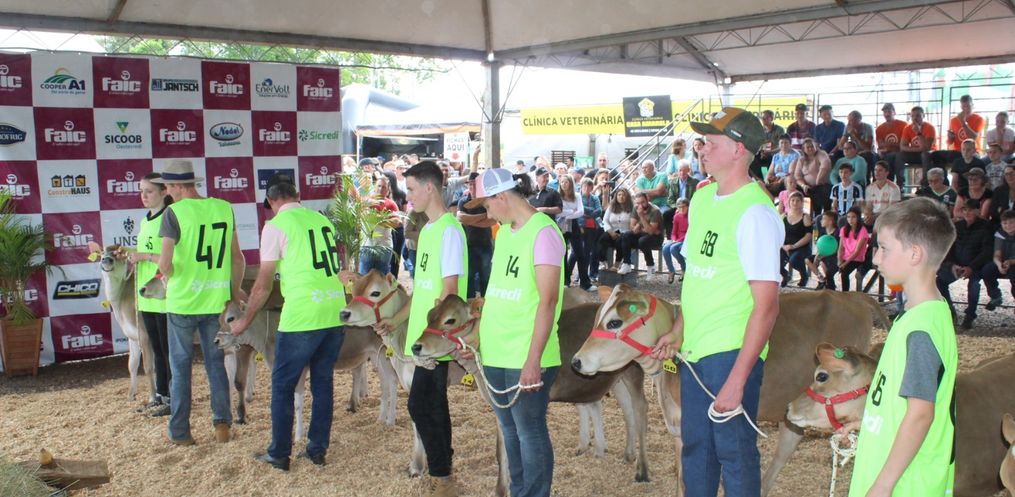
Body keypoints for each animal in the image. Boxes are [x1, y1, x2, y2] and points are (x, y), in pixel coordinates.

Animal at [87, 242, 156, 405]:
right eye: (101, 253)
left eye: (117, 254)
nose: (106, 260)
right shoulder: (132, 336)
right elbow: (132, 364)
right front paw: (131, 395)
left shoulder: (145, 334)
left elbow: (148, 366)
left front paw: (152, 397)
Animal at [414, 294, 651, 487]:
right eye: (429, 315)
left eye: (450, 320)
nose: (416, 346)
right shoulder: (499, 405)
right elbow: (503, 449)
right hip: (616, 377)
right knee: (627, 410)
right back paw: (628, 455)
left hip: (635, 372)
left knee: (640, 410)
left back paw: (642, 471)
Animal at [570, 286, 888, 490]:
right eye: (597, 318)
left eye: (614, 322)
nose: (576, 361)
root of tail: (850, 295)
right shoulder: (677, 427)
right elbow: (682, 476)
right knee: (788, 441)